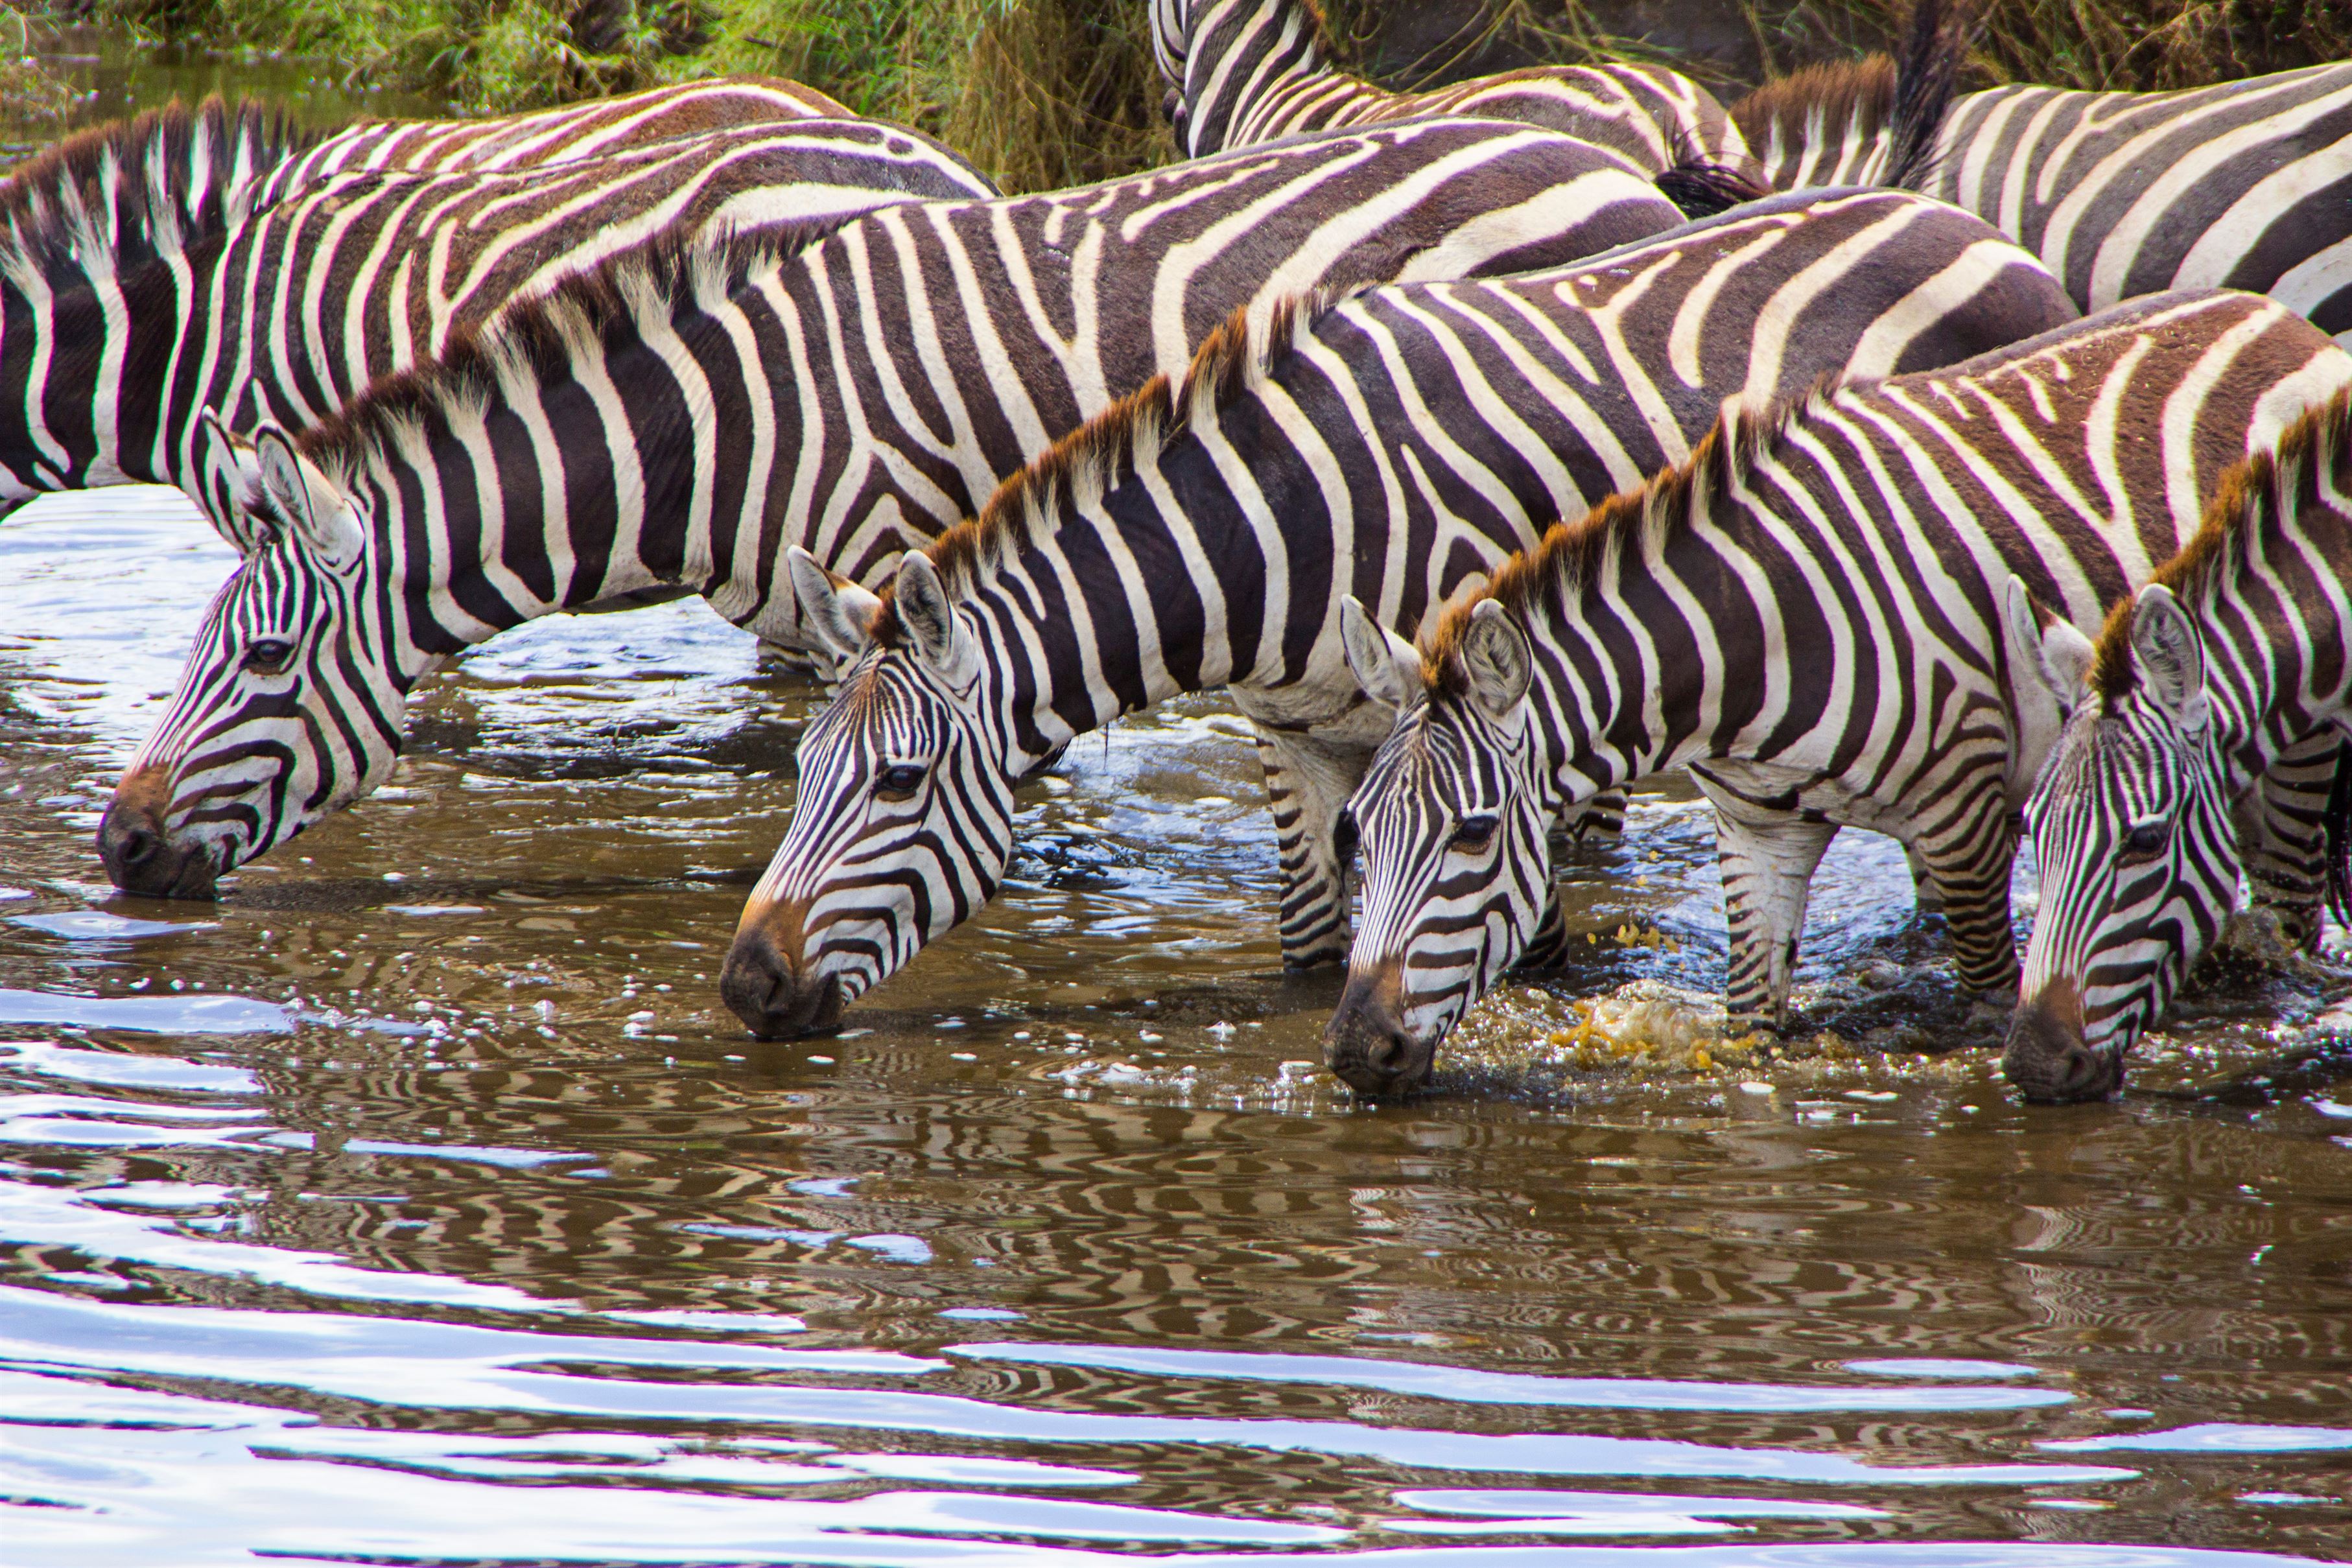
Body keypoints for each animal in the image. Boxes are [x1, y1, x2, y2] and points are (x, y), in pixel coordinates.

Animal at [715, 186, 2077, 1039]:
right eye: (802, 767)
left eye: (896, 782)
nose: (740, 986)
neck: (1284, 528)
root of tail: (1970, 220)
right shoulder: (1296, 736)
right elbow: (1314, 941)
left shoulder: (1484, 732)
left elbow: (1526, 949)